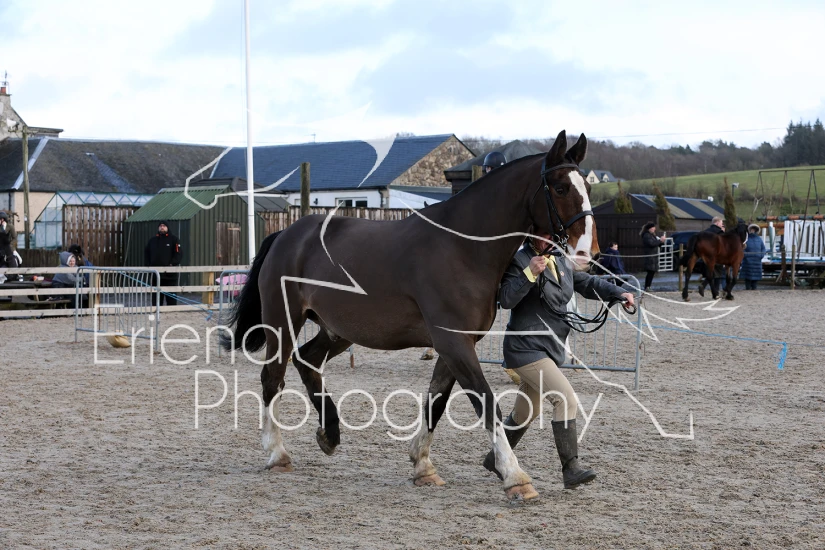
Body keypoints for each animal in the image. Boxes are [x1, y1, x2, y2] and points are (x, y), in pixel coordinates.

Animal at [221, 130, 599, 502]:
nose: (587, 253)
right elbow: (485, 402)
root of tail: (285, 235)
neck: (462, 248)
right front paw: (515, 476)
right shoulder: (454, 343)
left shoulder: (453, 346)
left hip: (336, 329)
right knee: (273, 379)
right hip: (283, 323)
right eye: (561, 188)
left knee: (307, 360)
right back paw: (277, 453)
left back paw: (330, 434)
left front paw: (423, 467)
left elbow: (436, 402)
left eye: (588, 187)